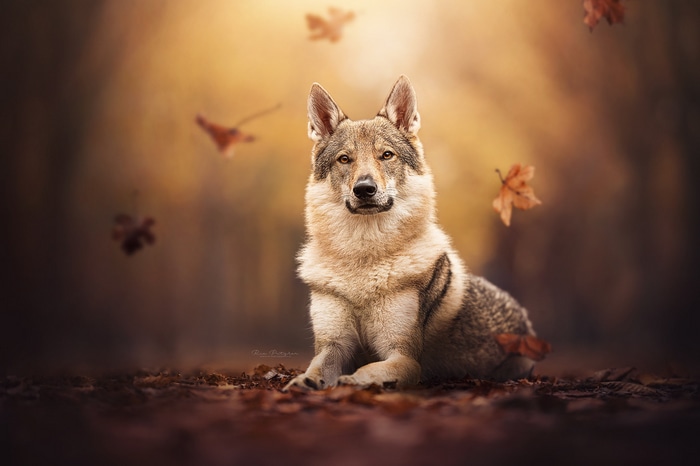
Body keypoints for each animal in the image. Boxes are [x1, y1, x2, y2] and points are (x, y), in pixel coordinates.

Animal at [284, 76, 537, 391]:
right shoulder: (334, 344)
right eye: (344, 159)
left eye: (386, 155)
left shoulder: (404, 356)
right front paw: (303, 382)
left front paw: (352, 381)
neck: (363, 258)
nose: (364, 189)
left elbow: (371, 370)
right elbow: (317, 366)